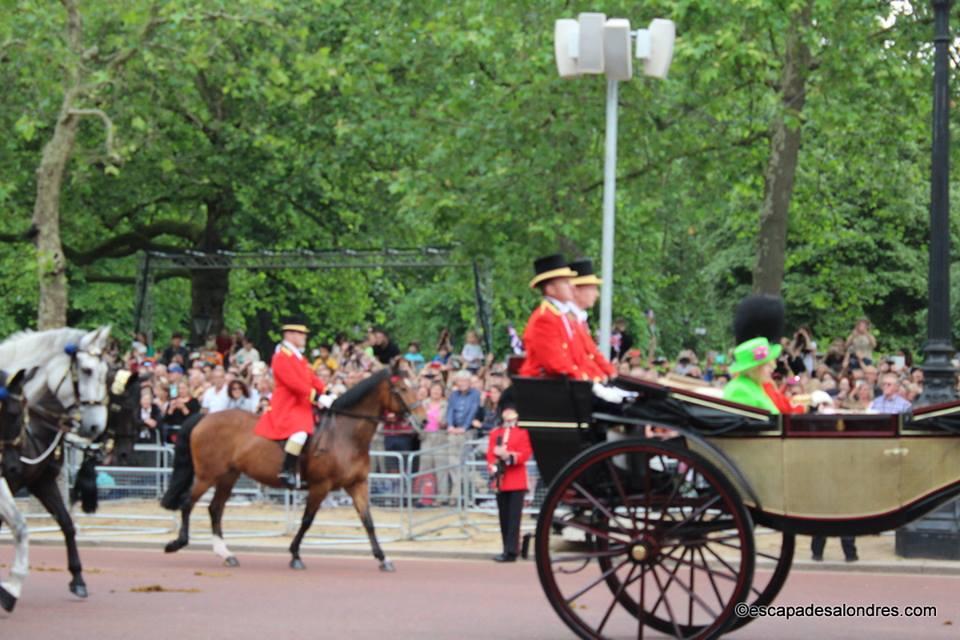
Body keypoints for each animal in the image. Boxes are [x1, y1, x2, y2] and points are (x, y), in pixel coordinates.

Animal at [161, 364, 424, 568]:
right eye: (402, 389)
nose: (422, 420)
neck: (345, 434)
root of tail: (205, 417)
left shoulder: (357, 484)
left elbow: (368, 521)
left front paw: (382, 558)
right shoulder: (320, 486)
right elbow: (307, 520)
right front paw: (295, 555)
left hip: (228, 476)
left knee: (215, 509)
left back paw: (226, 554)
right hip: (207, 475)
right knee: (187, 503)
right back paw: (177, 543)